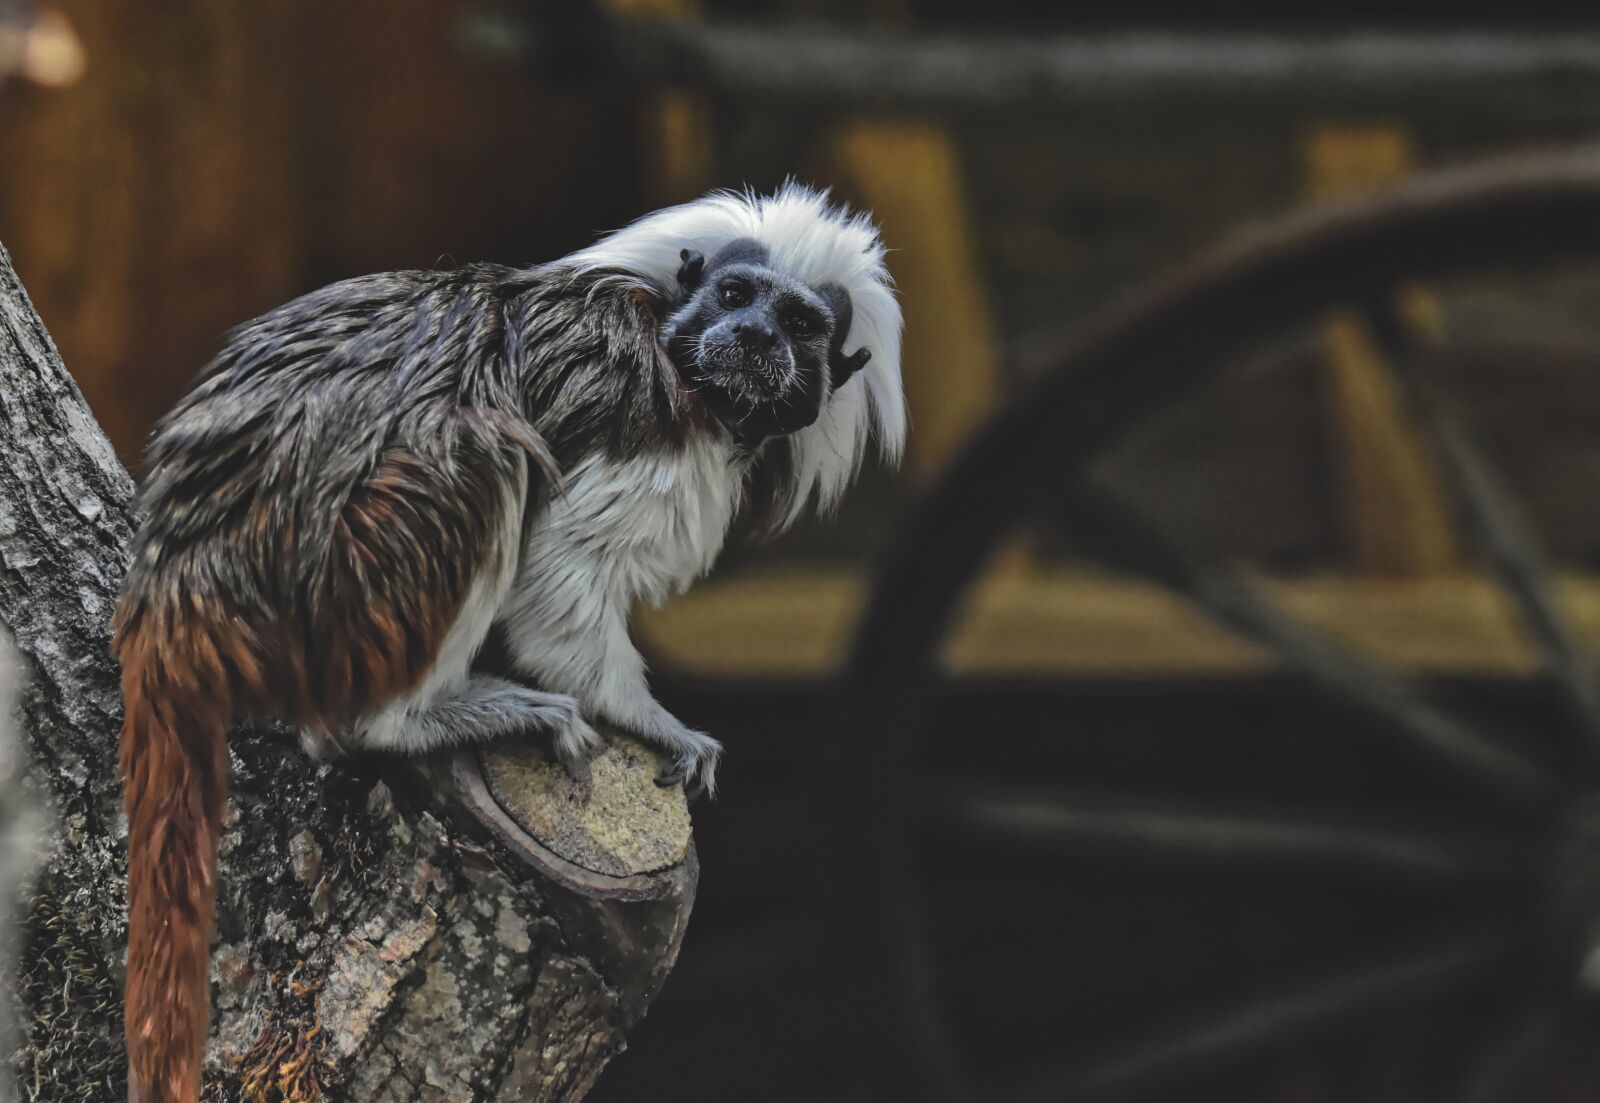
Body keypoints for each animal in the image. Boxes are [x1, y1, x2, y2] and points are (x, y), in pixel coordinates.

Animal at [112, 184, 905, 1103]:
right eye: (737, 295)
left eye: (801, 325)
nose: (753, 338)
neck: (696, 381)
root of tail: (181, 578)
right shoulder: (639, 416)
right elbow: (559, 576)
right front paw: (650, 717)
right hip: (345, 568)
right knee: (477, 447)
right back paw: (429, 715)